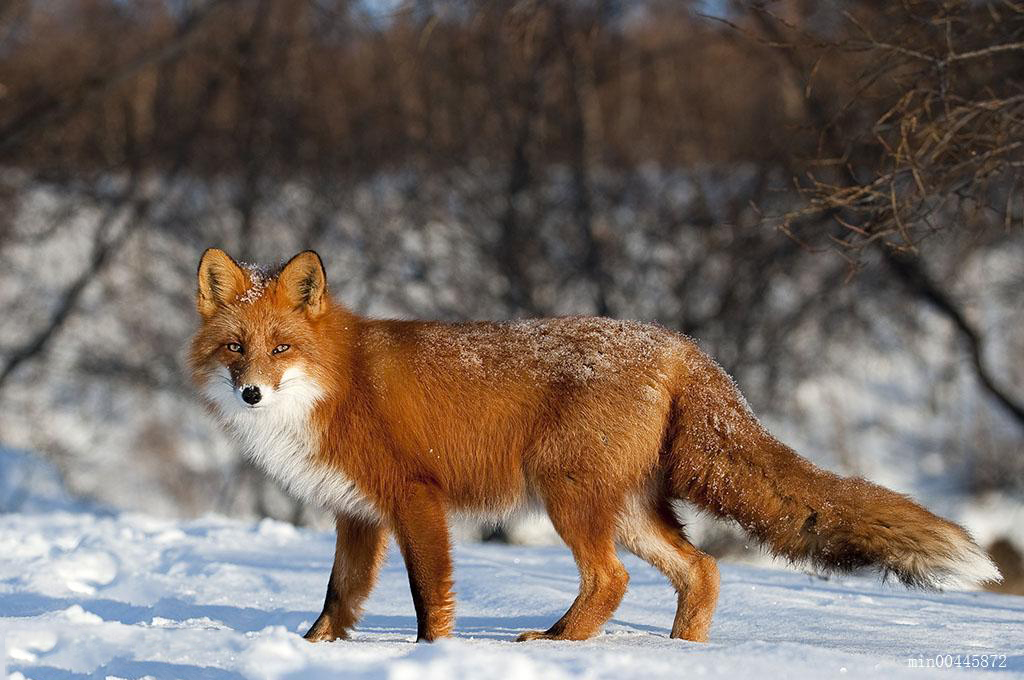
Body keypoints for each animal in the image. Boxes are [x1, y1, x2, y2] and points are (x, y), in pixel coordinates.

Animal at [190, 248, 999, 643]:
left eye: (282, 348)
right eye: (236, 349)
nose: (250, 394)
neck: (338, 380)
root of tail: (681, 343)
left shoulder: (414, 500)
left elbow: (428, 600)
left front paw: (431, 659)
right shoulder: (357, 514)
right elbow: (338, 599)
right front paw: (310, 655)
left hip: (569, 496)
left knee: (611, 579)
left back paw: (558, 644)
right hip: (630, 509)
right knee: (701, 570)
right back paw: (679, 656)